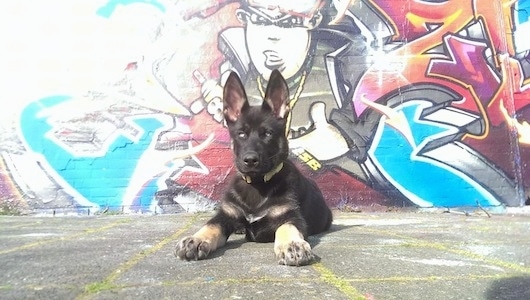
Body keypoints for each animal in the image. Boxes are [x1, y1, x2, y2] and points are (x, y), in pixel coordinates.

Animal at [174, 71, 330, 268]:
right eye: (241, 134)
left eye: (268, 134)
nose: (250, 160)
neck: (257, 183)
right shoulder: (226, 214)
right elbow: (210, 226)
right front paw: (195, 240)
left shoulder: (291, 215)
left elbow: (286, 227)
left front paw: (292, 245)